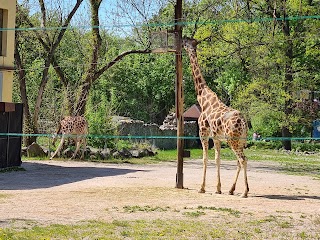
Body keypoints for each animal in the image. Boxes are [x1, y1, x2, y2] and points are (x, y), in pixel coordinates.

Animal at [182, 37, 250, 198]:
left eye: (186, 42)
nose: (181, 42)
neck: (202, 98)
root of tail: (244, 122)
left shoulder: (203, 133)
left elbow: (205, 158)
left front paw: (202, 188)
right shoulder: (217, 138)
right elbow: (217, 159)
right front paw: (218, 188)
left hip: (232, 140)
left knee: (243, 160)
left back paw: (245, 192)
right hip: (240, 140)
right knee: (239, 161)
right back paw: (232, 190)